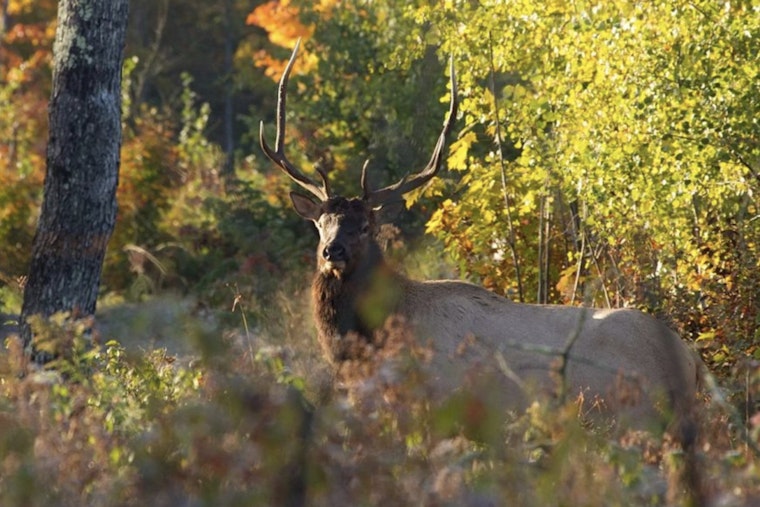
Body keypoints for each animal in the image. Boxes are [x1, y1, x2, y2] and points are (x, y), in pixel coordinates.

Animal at [259, 41, 701, 439]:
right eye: (320, 223)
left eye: (366, 225)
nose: (332, 251)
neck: (374, 342)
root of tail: (690, 360)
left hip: (635, 415)